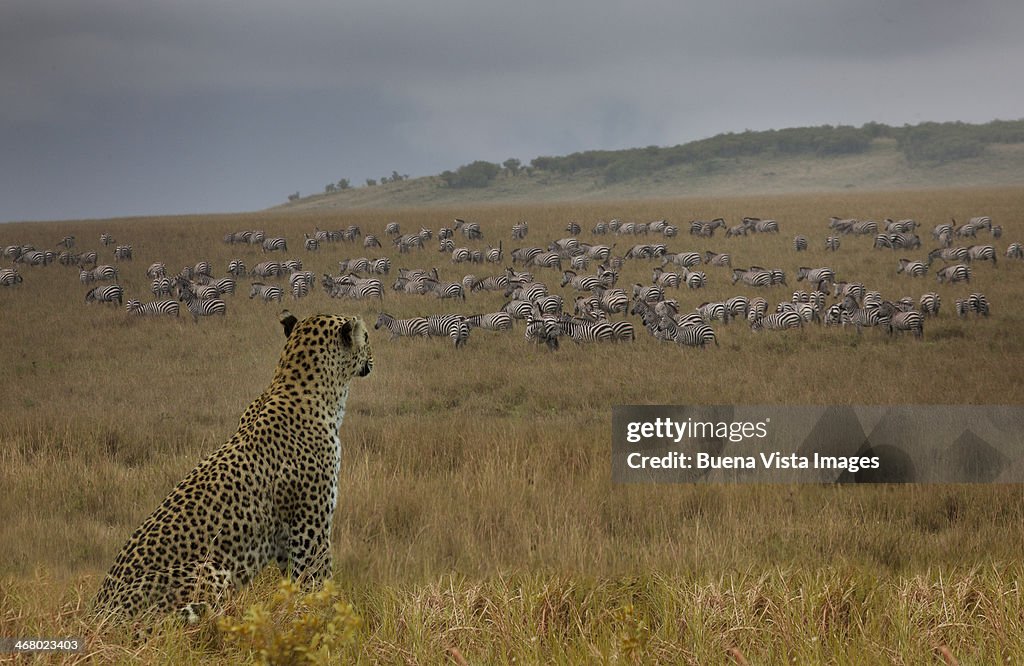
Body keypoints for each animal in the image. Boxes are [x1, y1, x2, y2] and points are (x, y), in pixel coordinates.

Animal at [92, 309, 372, 618]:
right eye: (366, 337)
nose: (373, 357)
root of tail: (98, 611)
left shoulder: (287, 541)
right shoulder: (310, 529)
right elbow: (318, 582)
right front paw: (329, 615)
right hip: (211, 570)